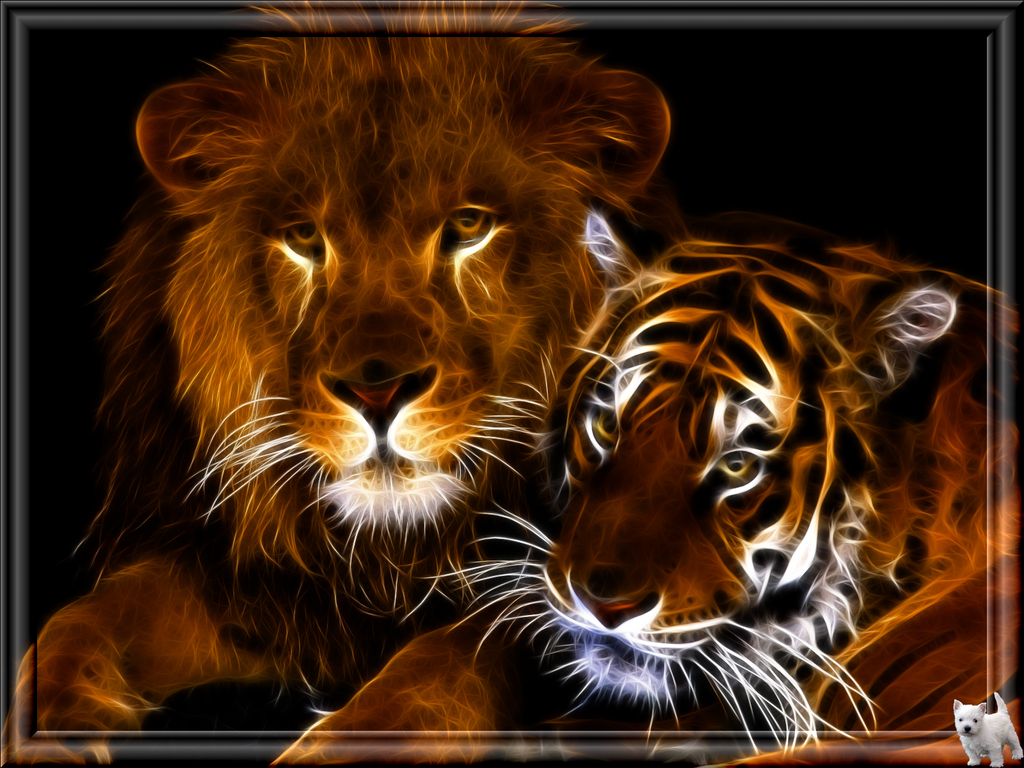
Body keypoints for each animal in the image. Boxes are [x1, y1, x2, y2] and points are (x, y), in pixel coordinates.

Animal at [2, 9, 681, 761]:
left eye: (469, 226)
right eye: (303, 237)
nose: (376, 394)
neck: (388, 556)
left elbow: (440, 669)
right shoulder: (247, 586)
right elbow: (80, 622)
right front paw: (54, 734)